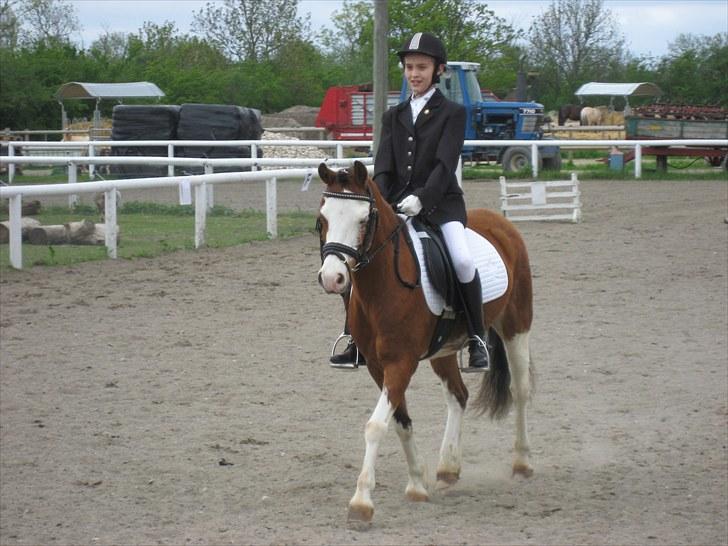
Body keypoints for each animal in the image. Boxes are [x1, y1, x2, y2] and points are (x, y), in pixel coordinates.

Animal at [315, 161, 534, 522]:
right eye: (323, 219)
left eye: (362, 220)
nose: (333, 279)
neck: (382, 286)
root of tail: (501, 222)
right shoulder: (377, 367)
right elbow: (400, 421)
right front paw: (417, 484)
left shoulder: (400, 363)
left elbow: (376, 425)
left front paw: (361, 502)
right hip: (443, 350)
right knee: (458, 395)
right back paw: (448, 469)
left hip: (516, 326)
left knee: (520, 391)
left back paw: (522, 463)